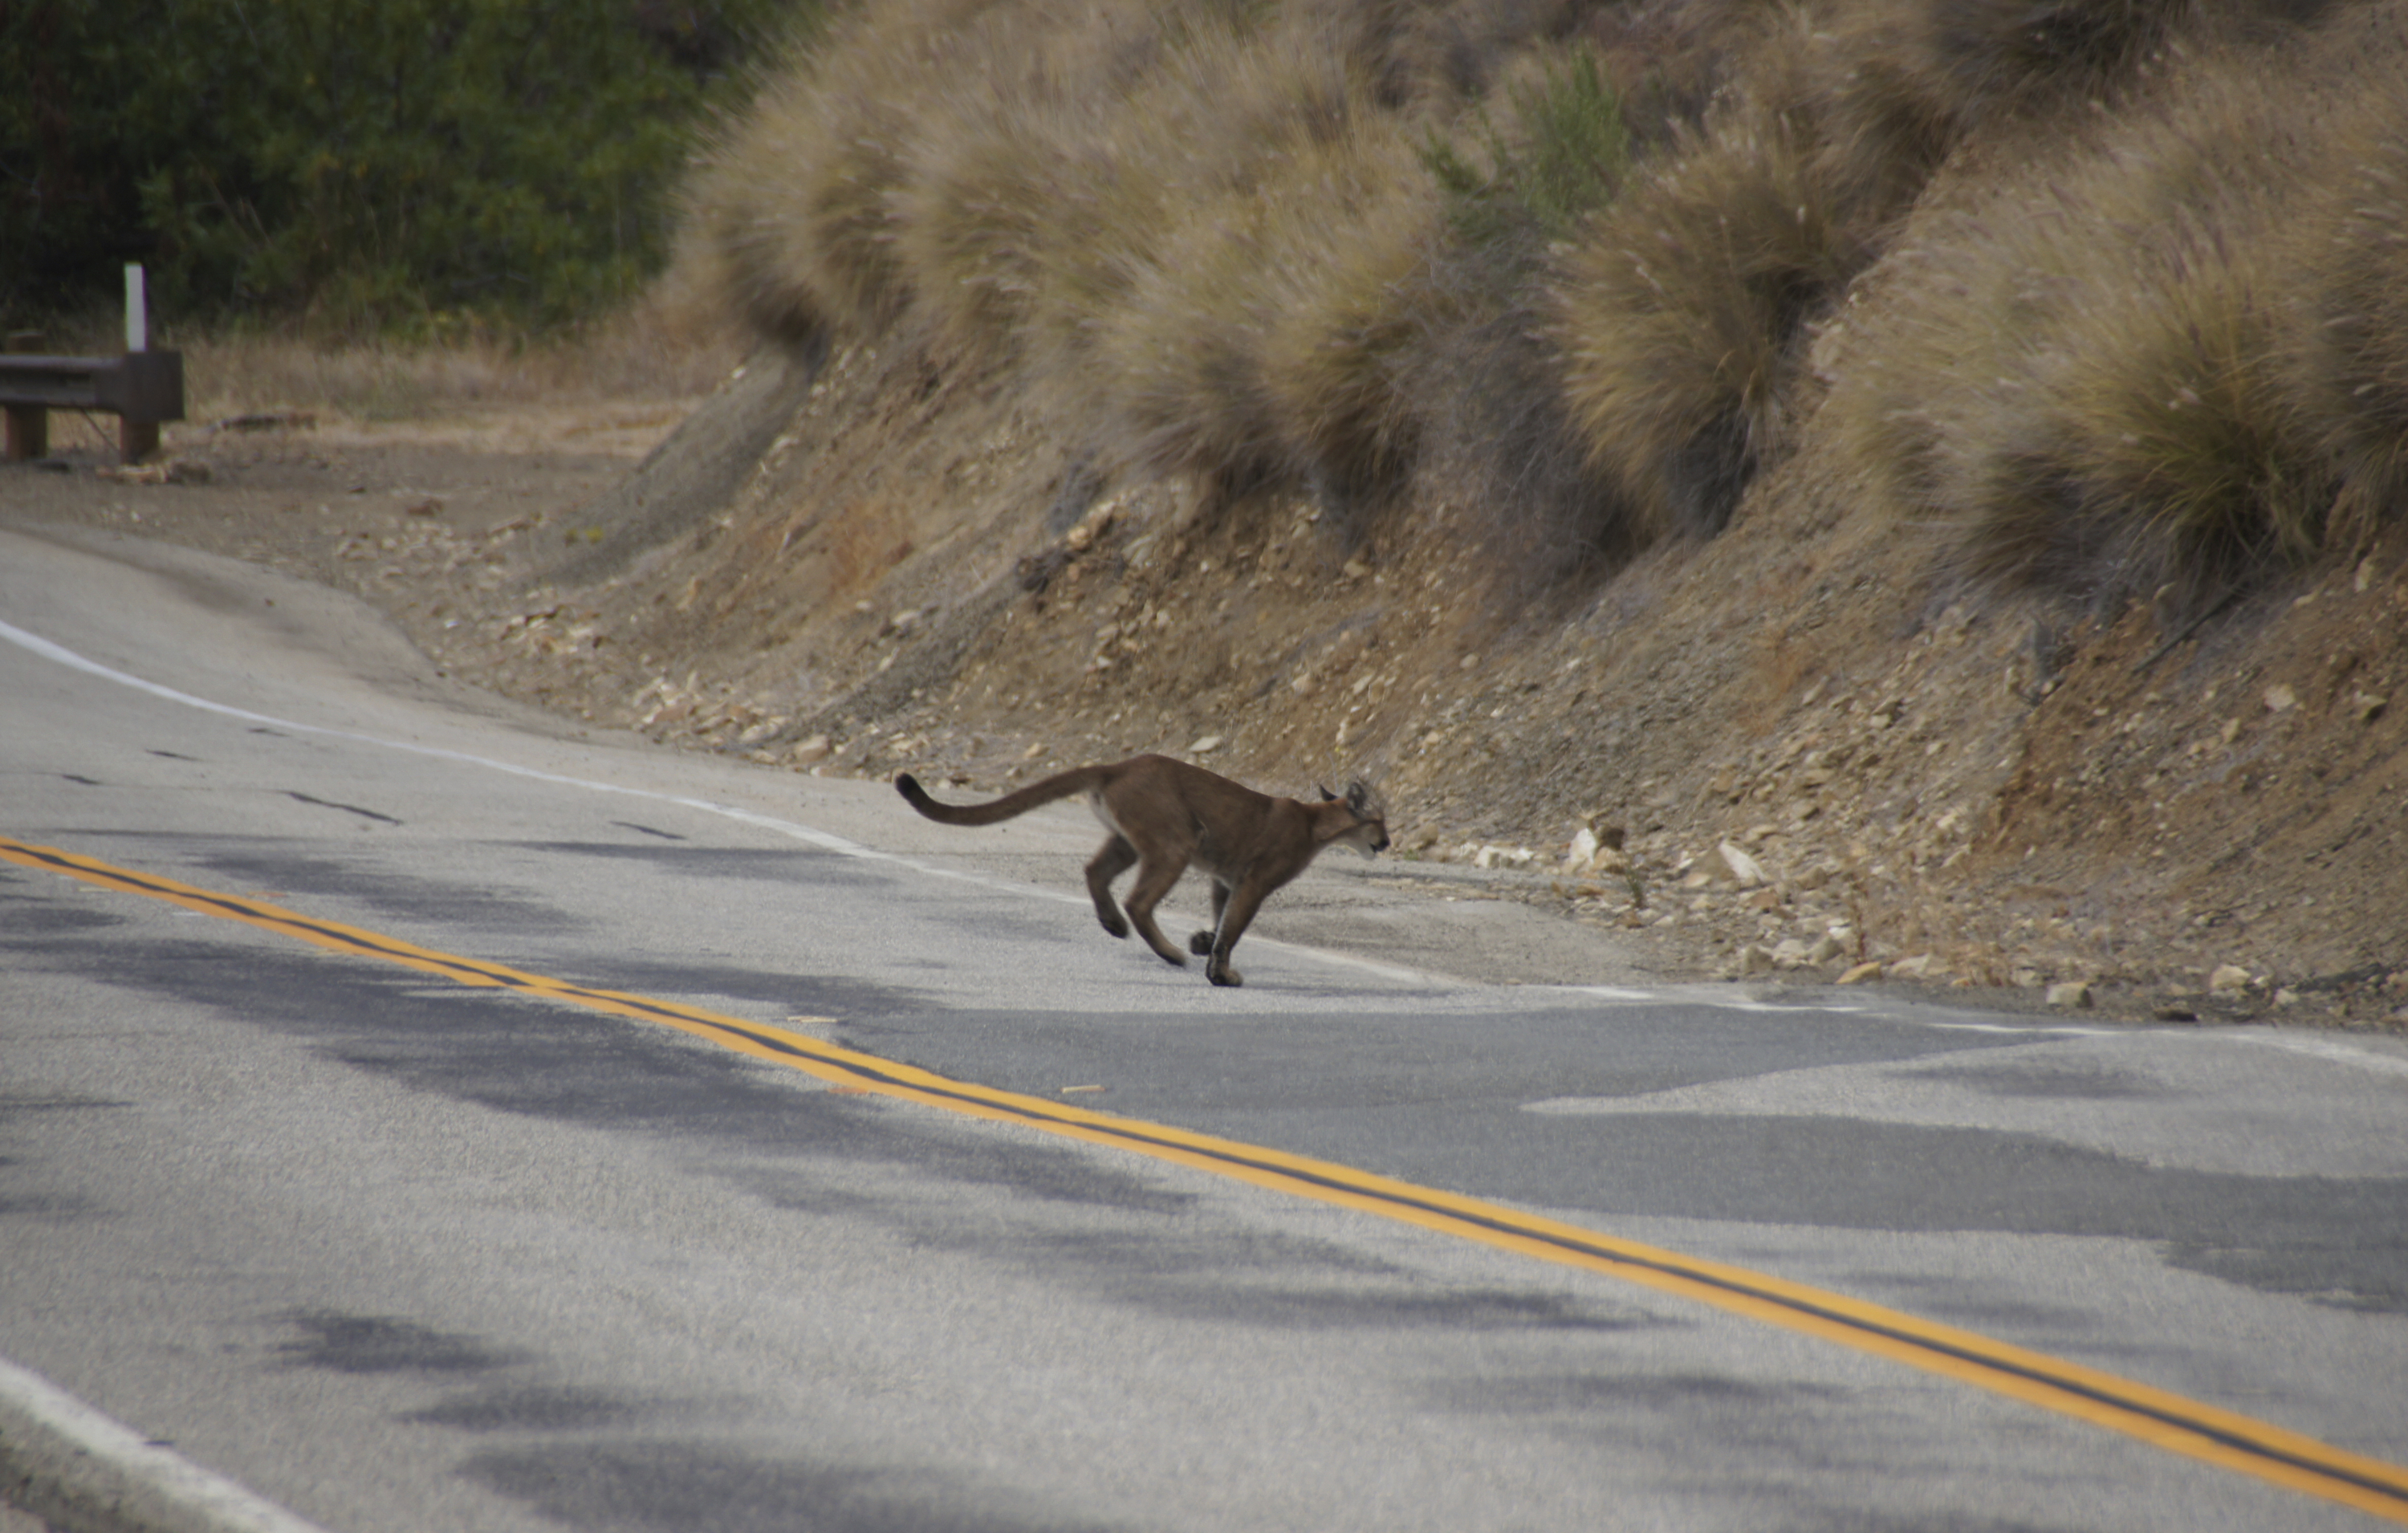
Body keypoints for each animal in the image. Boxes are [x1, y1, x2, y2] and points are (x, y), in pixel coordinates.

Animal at [901, 750, 1397, 986]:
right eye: (1381, 823)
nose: (1389, 842)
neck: (1316, 824)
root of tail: (1121, 765)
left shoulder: (1226, 878)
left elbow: (1222, 918)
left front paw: (1203, 942)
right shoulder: (1254, 882)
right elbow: (1234, 928)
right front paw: (1220, 973)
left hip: (1130, 841)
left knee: (1094, 871)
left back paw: (1113, 924)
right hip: (1176, 843)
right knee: (1138, 901)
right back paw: (1167, 951)